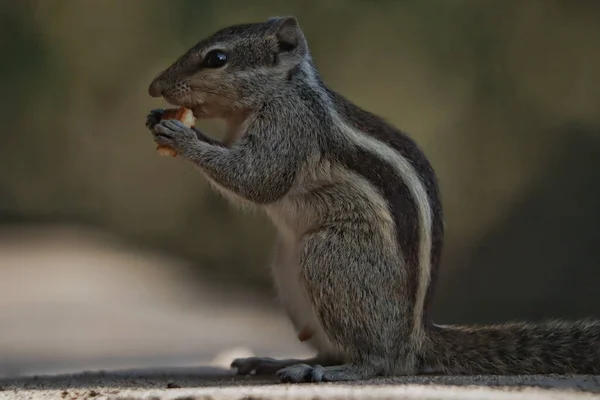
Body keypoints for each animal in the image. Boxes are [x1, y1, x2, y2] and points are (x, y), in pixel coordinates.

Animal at [146, 16, 600, 384]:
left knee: (377, 361)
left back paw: (332, 371)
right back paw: (278, 362)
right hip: (288, 269)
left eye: (217, 58)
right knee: (333, 348)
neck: (281, 90)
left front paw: (182, 136)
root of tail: (413, 342)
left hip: (331, 258)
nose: (154, 88)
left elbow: (259, 179)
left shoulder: (290, 126)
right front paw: (159, 120)